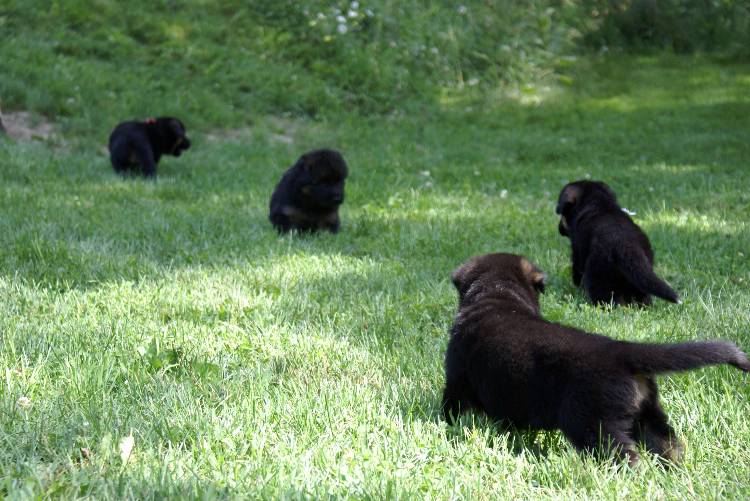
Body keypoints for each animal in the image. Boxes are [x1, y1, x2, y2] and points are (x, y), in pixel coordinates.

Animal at [444, 254, 748, 464]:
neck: (498, 296)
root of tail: (622, 352)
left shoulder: (457, 378)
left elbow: (452, 406)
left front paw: (447, 426)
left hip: (592, 424)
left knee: (626, 456)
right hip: (646, 414)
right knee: (669, 444)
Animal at [552, 180, 680, 304]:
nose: (559, 229)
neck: (599, 205)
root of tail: (626, 245)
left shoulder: (577, 250)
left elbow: (577, 270)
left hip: (598, 273)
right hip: (642, 273)